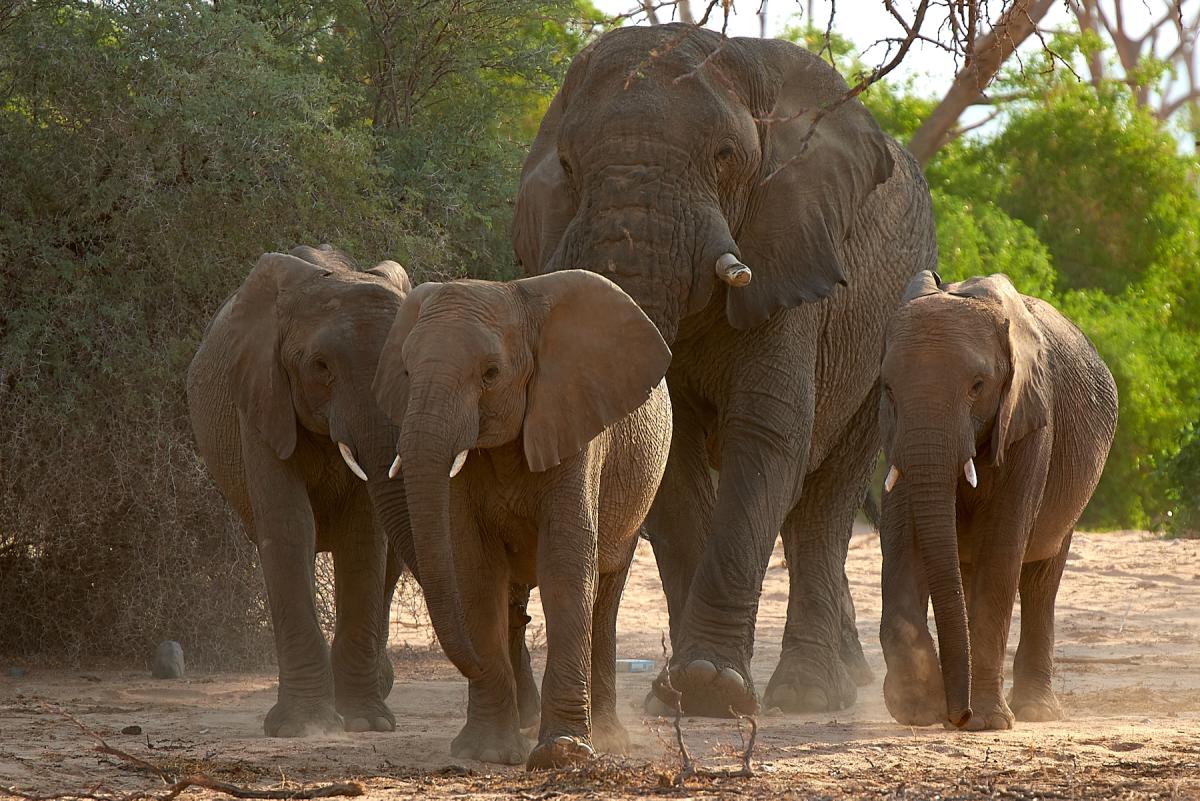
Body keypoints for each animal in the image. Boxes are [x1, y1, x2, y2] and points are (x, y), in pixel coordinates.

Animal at [186, 245, 539, 736]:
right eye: (320, 367)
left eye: (406, 369)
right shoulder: (260, 399)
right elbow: (288, 525)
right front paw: (303, 727)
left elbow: (364, 536)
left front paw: (367, 722)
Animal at [372, 269, 673, 768]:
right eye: (408, 372)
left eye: (491, 374)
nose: (471, 664)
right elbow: (474, 569)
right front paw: (488, 751)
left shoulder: (574, 424)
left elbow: (566, 566)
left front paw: (564, 751)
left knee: (605, 597)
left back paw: (608, 738)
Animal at [513, 23, 935, 716]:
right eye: (568, 166)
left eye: (725, 155)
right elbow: (674, 455)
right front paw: (684, 694)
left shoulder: (790, 246)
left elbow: (765, 434)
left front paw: (712, 686)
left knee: (823, 509)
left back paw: (810, 694)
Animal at [877, 271, 1117, 731]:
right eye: (889, 390)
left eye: (977, 387)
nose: (957, 716)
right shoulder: (893, 433)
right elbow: (903, 539)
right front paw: (916, 709)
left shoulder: (1032, 424)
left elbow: (1002, 548)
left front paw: (986, 722)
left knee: (1041, 579)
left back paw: (1036, 711)